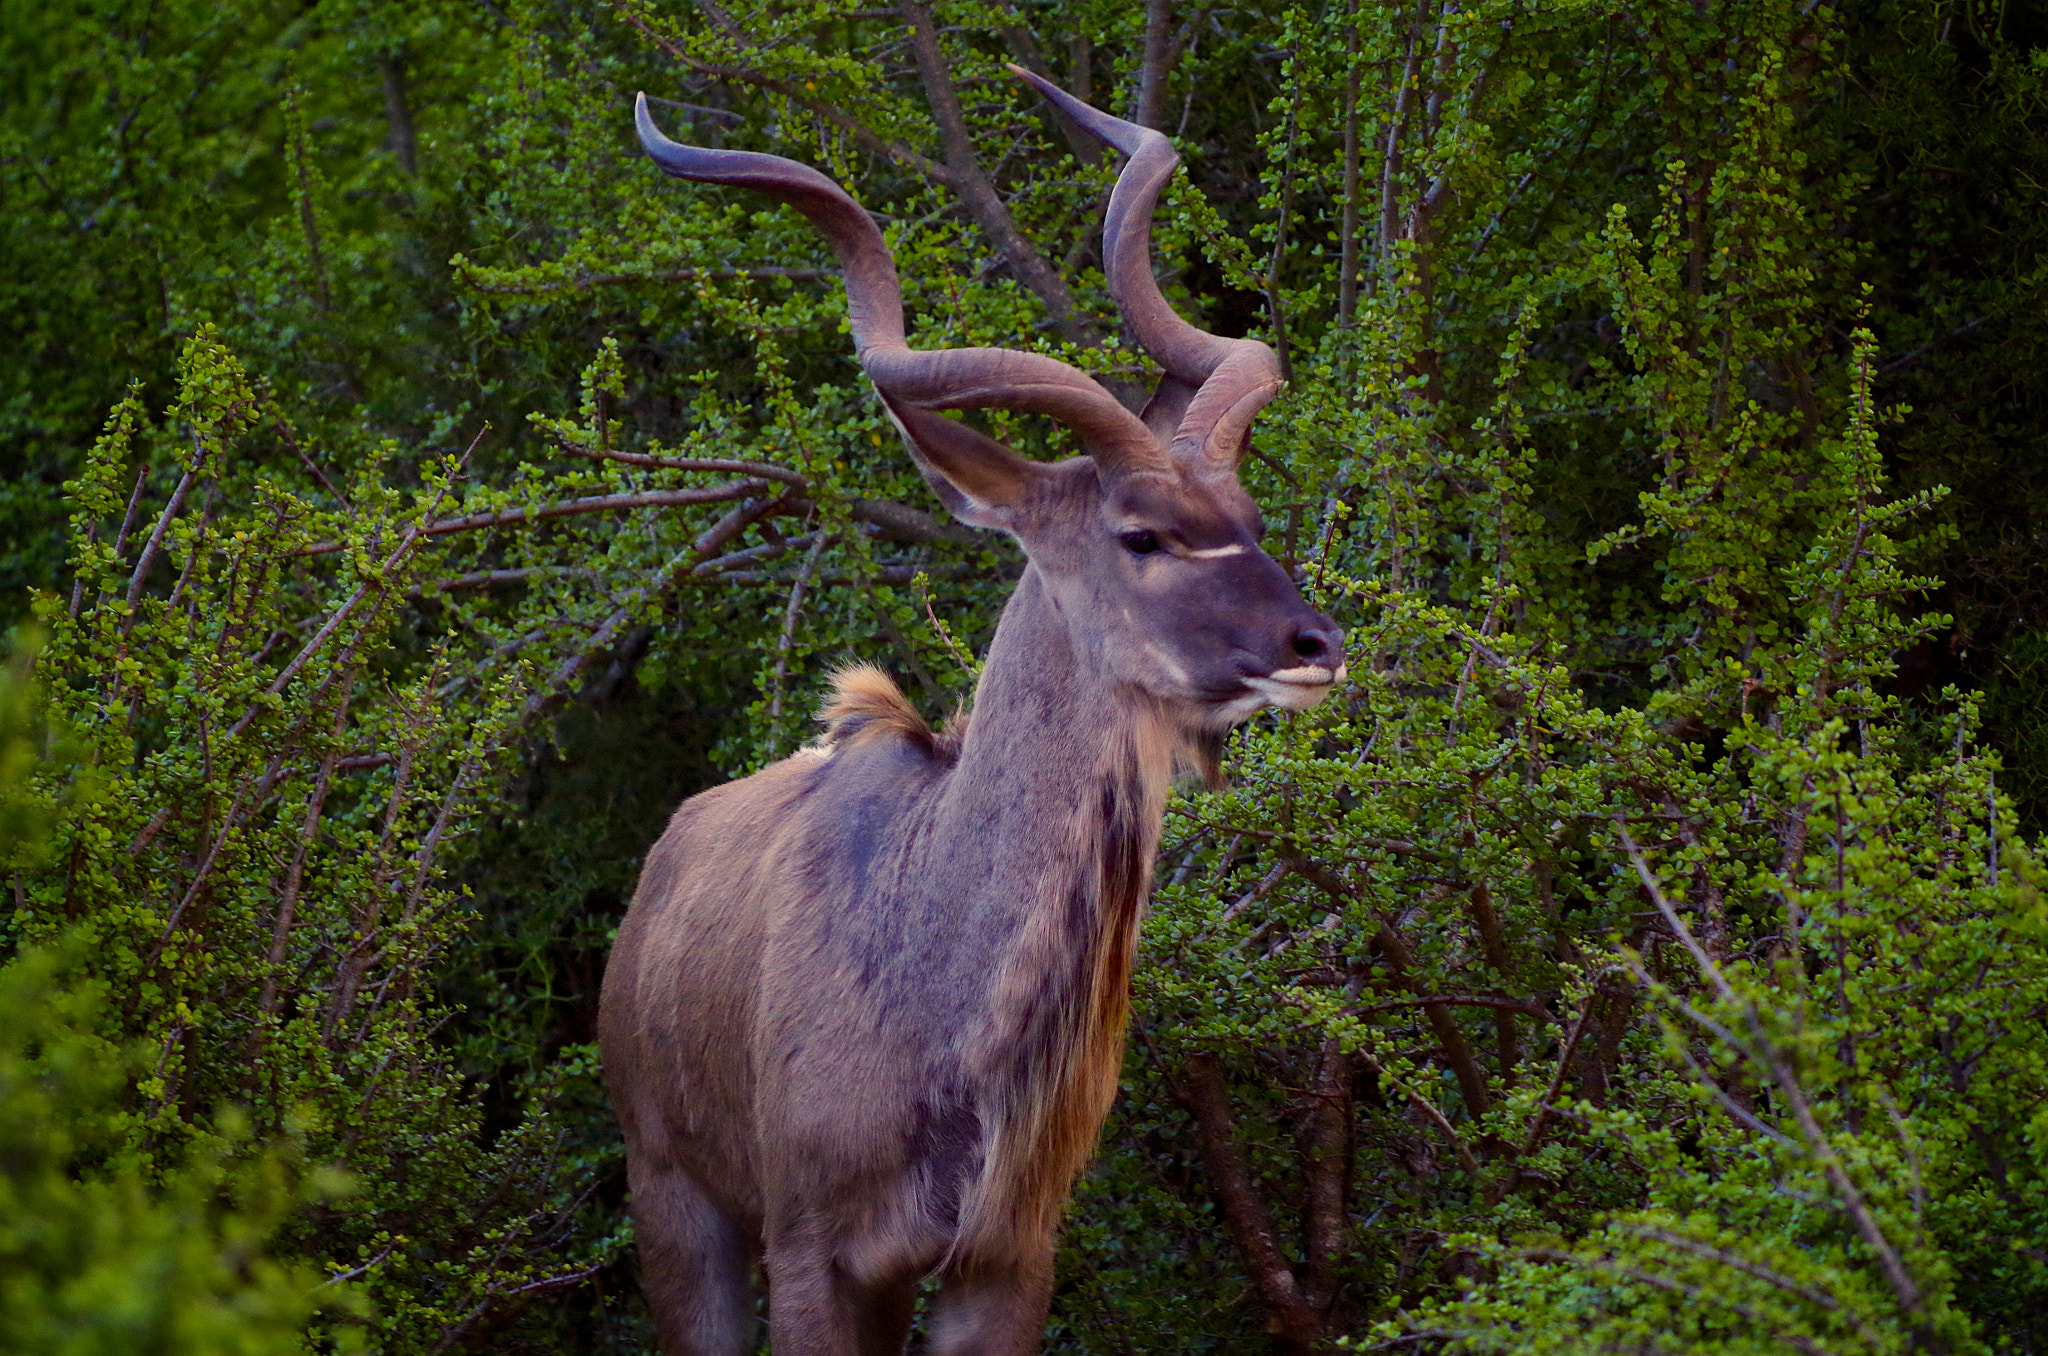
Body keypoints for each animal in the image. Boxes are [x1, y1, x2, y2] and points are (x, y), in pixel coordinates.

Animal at [602, 71, 1343, 1356]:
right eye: (1141, 533)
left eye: (1247, 517)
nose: (1313, 647)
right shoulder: (810, 1254)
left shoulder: (1002, 1258)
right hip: (674, 1199)